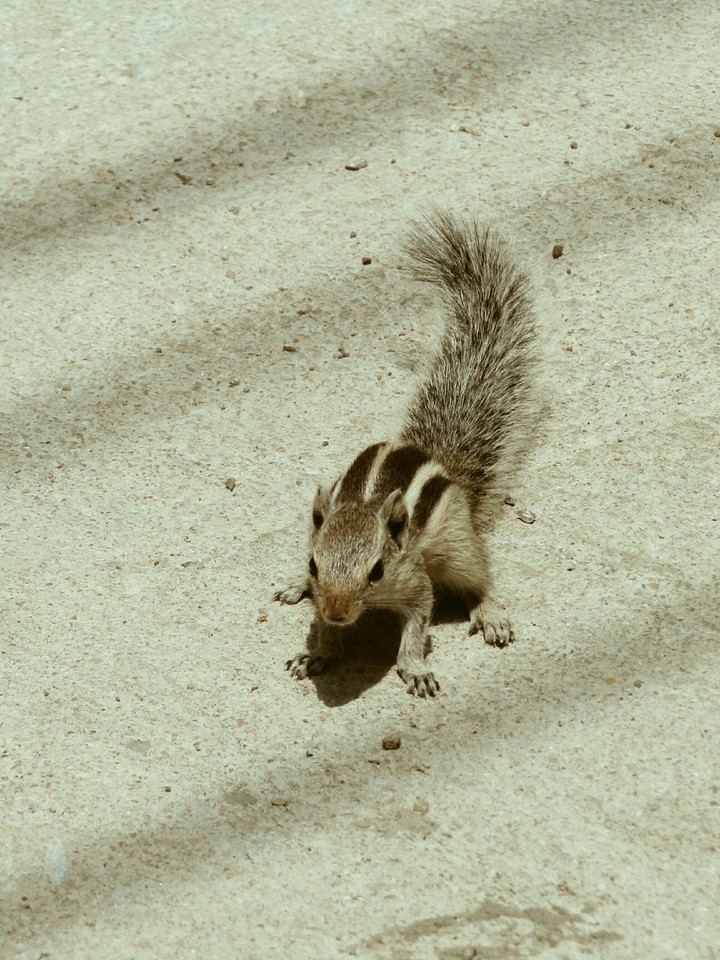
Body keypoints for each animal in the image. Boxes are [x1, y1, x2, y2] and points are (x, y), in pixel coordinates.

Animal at [273, 210, 537, 697]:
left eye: (376, 571)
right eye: (315, 564)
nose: (337, 612)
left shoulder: (416, 584)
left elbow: (417, 627)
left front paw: (415, 668)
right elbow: (323, 632)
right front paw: (316, 651)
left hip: (457, 546)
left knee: (479, 577)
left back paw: (490, 613)